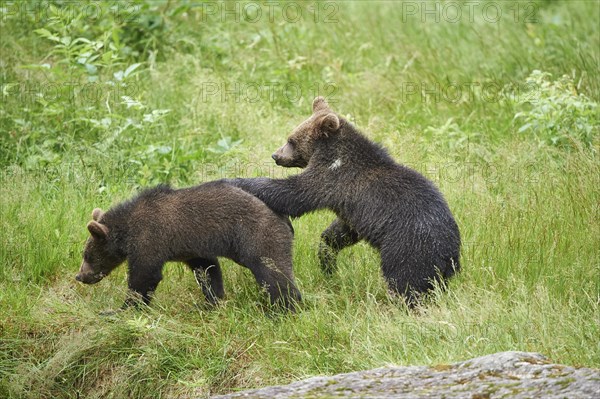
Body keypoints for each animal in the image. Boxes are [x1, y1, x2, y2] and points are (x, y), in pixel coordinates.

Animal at [75, 183, 300, 310]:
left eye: (87, 256)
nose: (80, 276)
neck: (127, 230)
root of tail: (283, 217)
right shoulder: (192, 247)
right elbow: (208, 271)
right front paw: (212, 300)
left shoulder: (151, 237)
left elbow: (145, 275)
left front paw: (121, 309)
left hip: (256, 234)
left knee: (273, 272)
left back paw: (286, 307)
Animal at [227, 97, 462, 306]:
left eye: (291, 140)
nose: (276, 155)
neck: (333, 154)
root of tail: (450, 253)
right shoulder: (352, 212)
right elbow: (338, 233)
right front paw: (327, 259)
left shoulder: (332, 179)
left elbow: (294, 193)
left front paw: (239, 181)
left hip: (408, 247)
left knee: (406, 282)